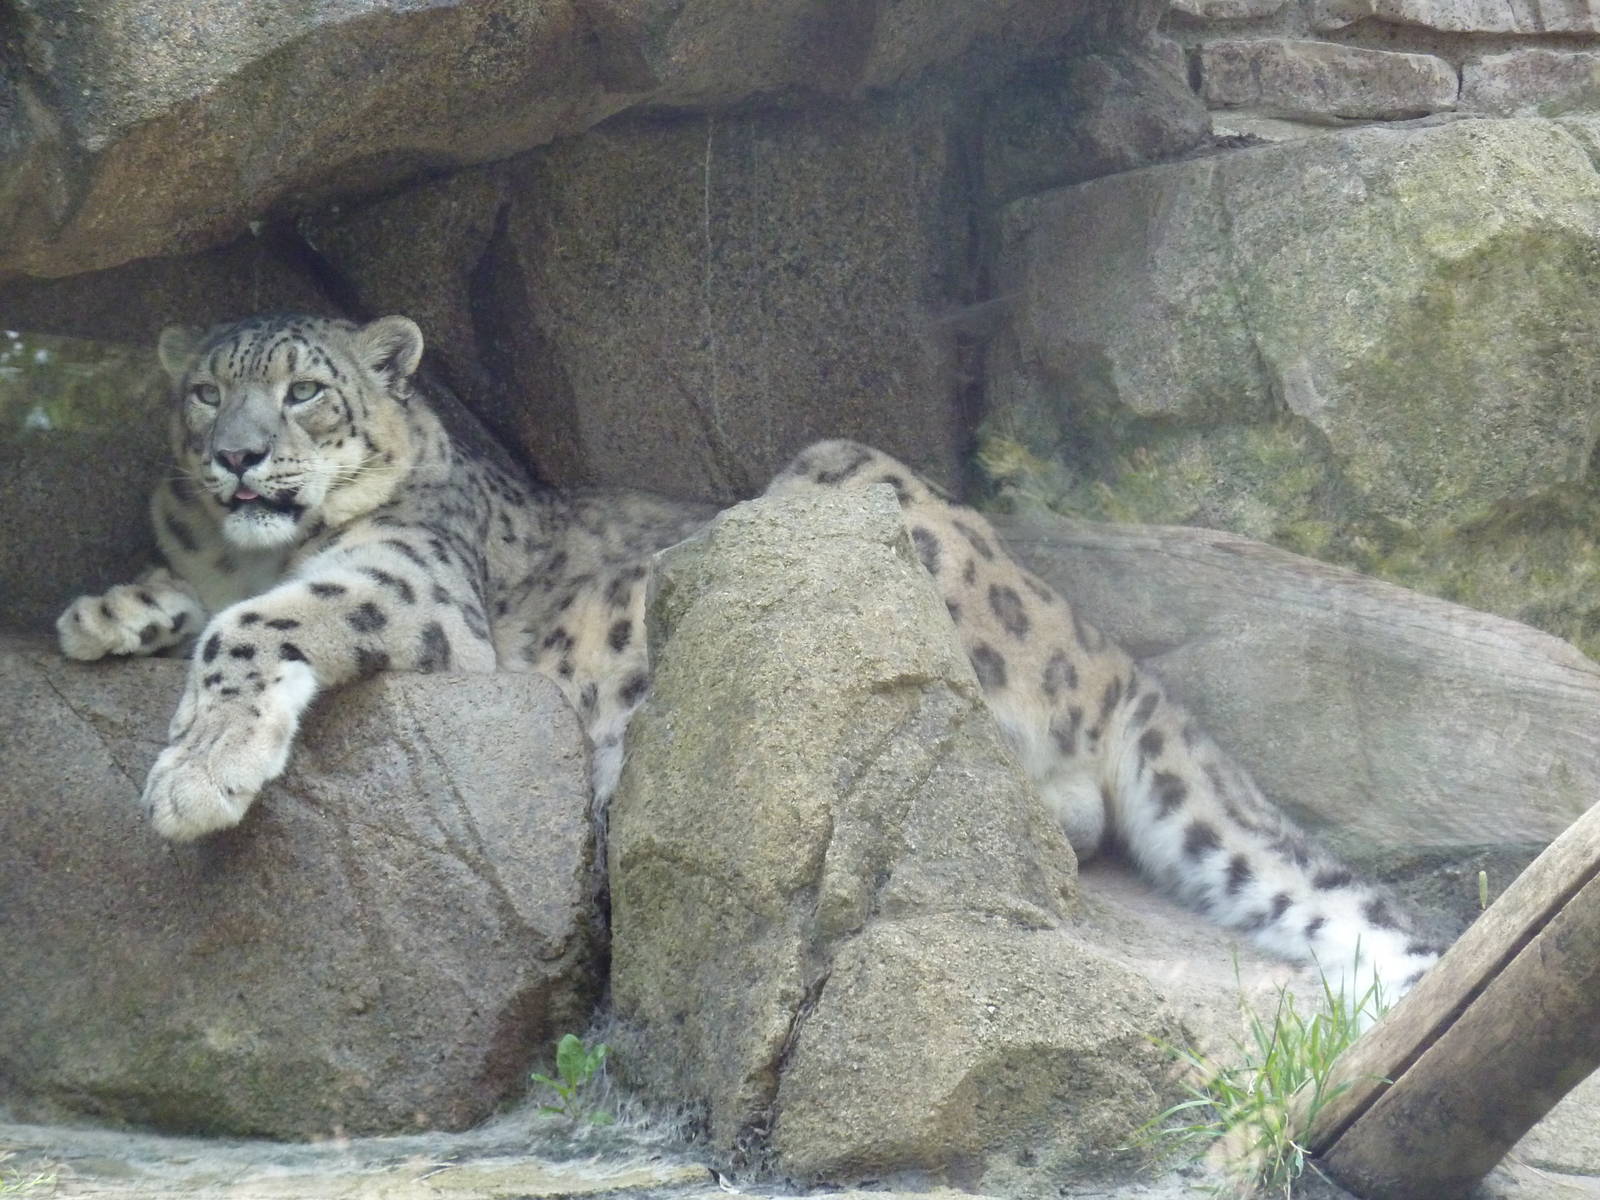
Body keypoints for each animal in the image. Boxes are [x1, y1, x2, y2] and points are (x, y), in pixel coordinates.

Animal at [57, 312, 1439, 1005]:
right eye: (203, 393)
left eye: (305, 391)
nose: (237, 455)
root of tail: (1096, 646)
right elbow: (197, 593)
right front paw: (105, 612)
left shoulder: (414, 580)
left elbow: (260, 621)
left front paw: (196, 778)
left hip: (846, 515)